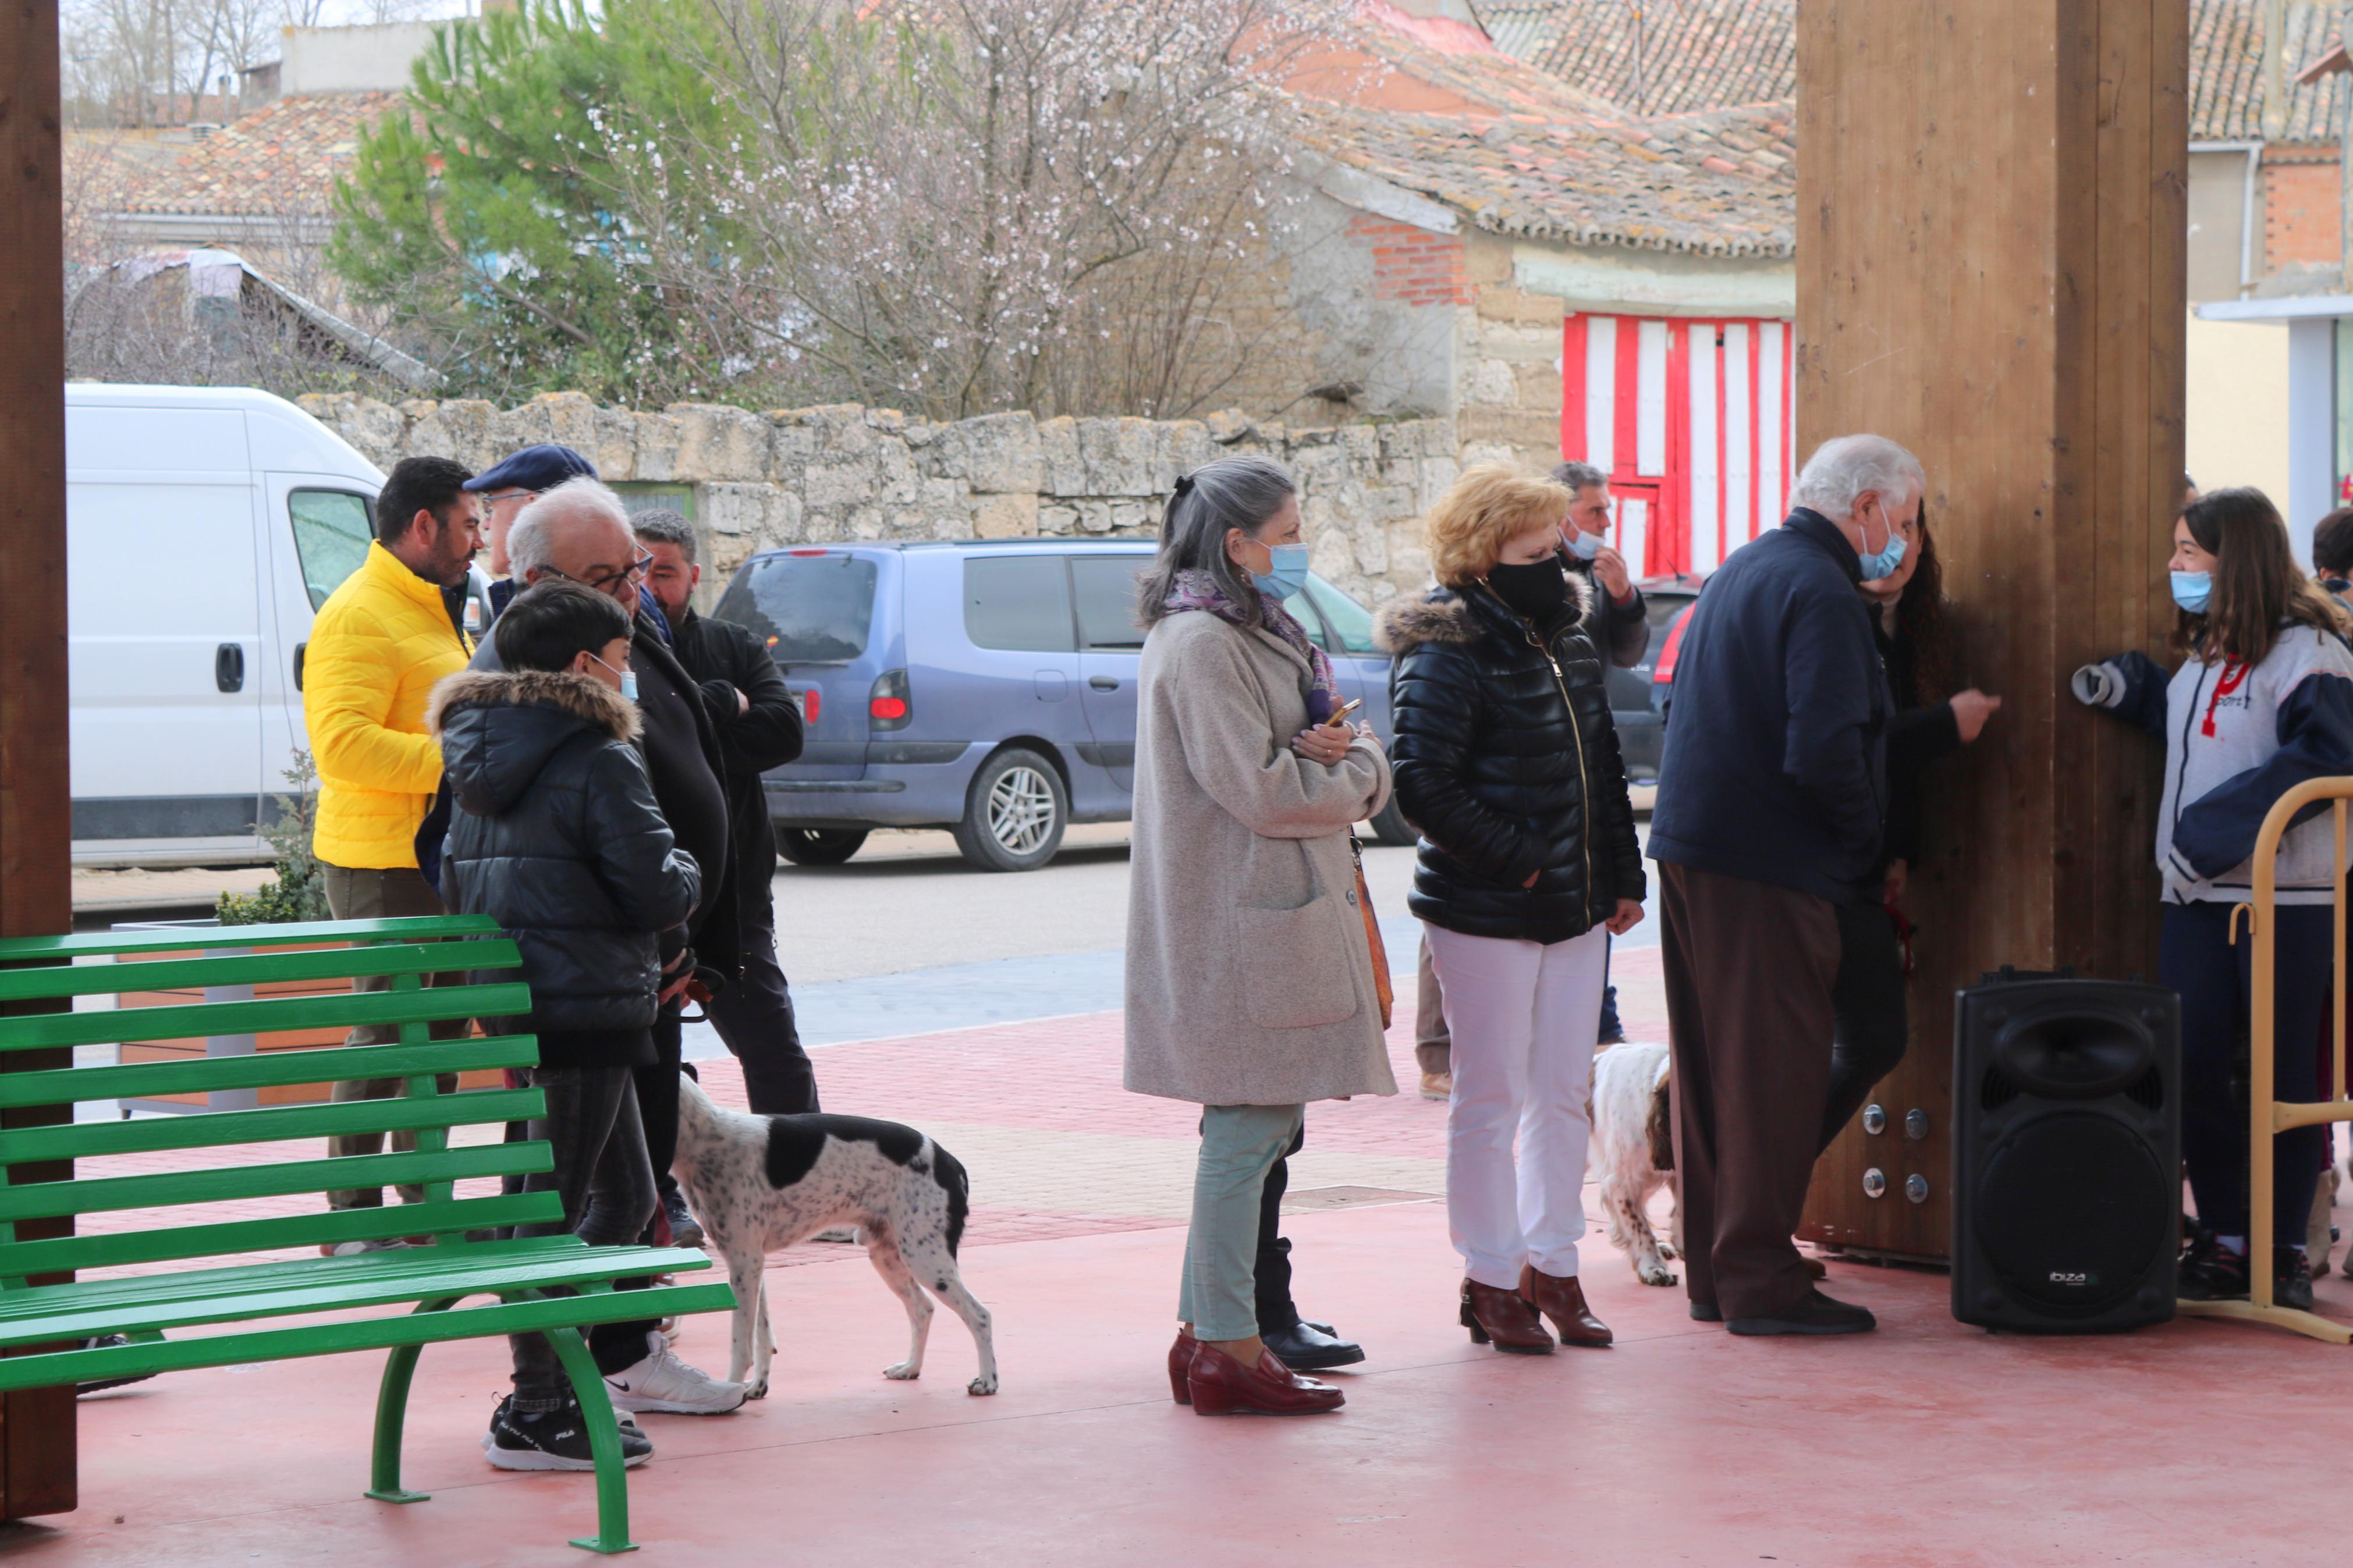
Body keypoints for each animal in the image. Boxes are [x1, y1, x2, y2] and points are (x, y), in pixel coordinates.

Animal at [673, 1081, 993, 1401]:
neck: (706, 1139)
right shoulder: (751, 1263)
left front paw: (730, 1389)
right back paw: (911, 1367)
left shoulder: (743, 1261)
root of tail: (951, 1162)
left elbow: (741, 1345)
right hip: (889, 1257)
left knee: (980, 1315)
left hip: (926, 1259)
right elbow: (763, 1336)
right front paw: (756, 1387)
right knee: (923, 1309)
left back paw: (987, 1381)